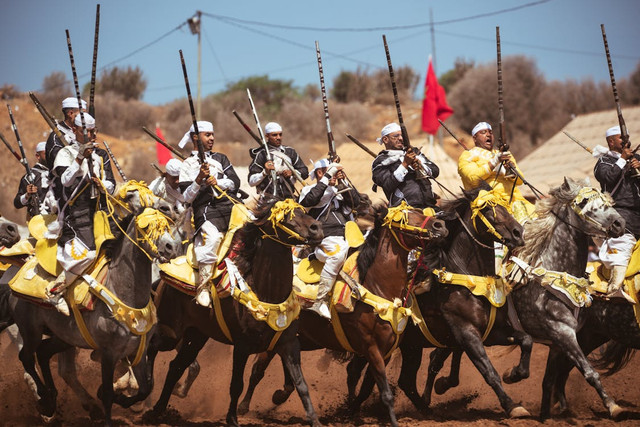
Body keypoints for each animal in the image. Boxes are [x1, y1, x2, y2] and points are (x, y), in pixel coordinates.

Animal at [8, 205, 181, 427]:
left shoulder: (138, 352)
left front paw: (122, 399)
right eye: (146, 227)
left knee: (44, 352)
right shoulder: (109, 353)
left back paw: (55, 399)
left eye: (167, 224)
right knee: (27, 357)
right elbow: (107, 394)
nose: (171, 247)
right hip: (31, 330)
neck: (124, 296)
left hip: (65, 337)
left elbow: (144, 388)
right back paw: (46, 402)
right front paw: (108, 405)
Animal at [146, 197, 324, 427]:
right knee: (153, 347)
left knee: (176, 366)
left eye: (303, 210)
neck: (267, 294)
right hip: (171, 331)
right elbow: (236, 384)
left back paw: (158, 410)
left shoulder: (288, 343)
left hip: (197, 335)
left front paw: (314, 420)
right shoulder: (242, 346)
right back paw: (144, 391)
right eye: (286, 215)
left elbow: (301, 384)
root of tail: (163, 278)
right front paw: (232, 418)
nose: (317, 228)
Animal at [236, 201, 450, 427]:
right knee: (257, 369)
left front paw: (351, 411)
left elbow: (367, 386)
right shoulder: (371, 347)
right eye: (404, 217)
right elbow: (385, 393)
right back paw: (244, 406)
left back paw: (279, 395)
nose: (440, 225)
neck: (375, 285)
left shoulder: (387, 349)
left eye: (420, 211)